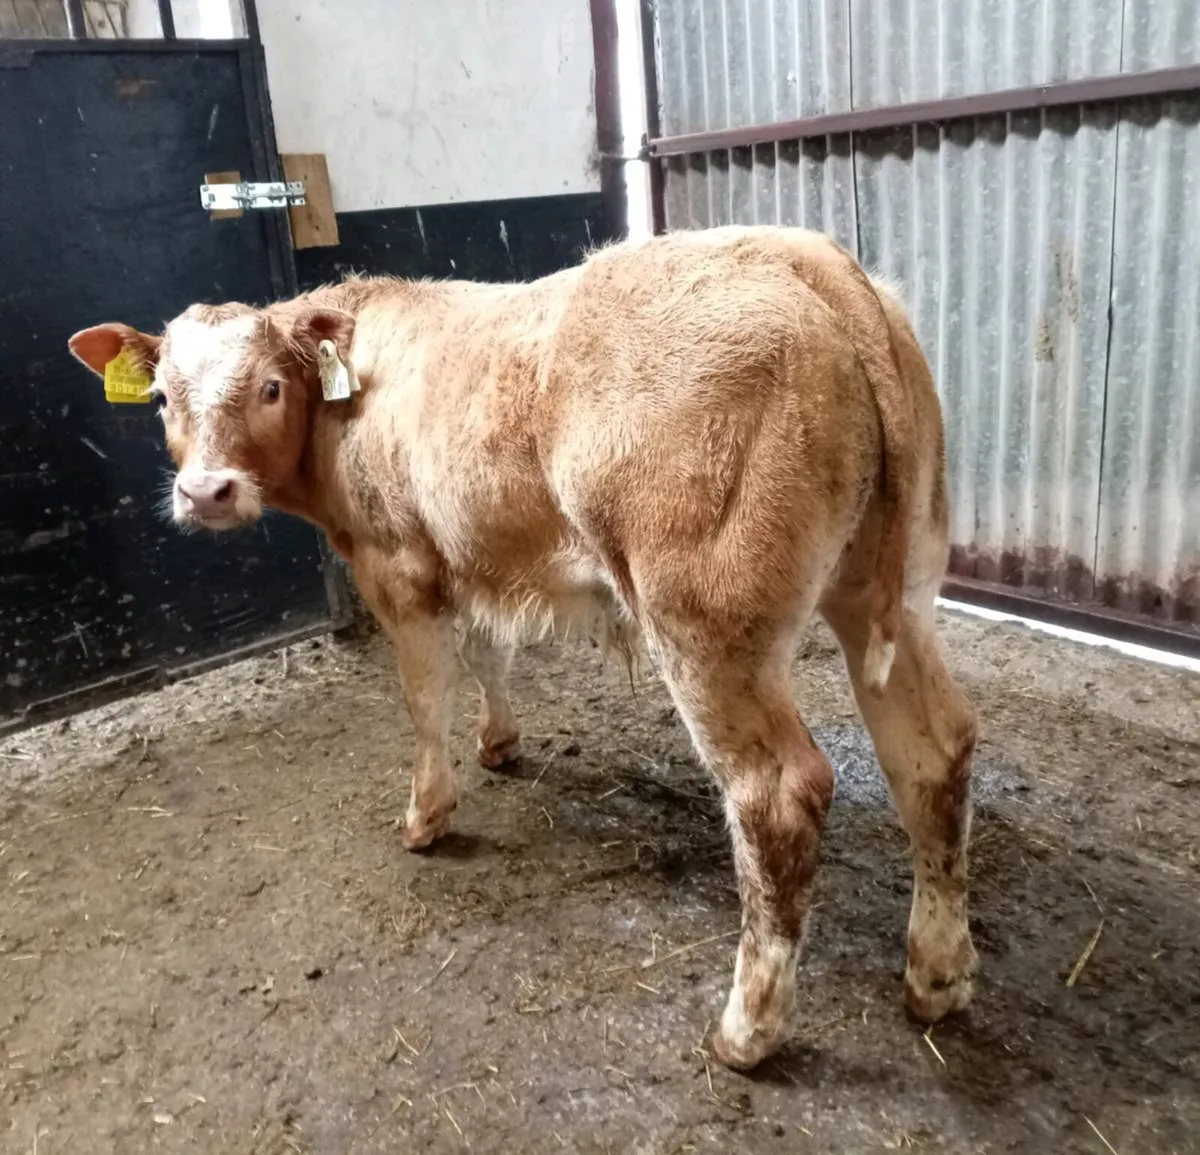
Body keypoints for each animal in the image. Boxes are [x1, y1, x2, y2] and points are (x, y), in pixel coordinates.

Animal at [68, 226, 978, 1072]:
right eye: (160, 395)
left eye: (268, 385)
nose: (206, 492)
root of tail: (813, 260)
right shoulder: (465, 552)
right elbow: (487, 656)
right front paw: (499, 742)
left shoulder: (395, 561)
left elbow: (424, 694)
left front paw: (427, 812)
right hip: (891, 592)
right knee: (934, 748)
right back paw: (935, 972)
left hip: (710, 624)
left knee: (778, 796)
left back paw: (748, 1029)